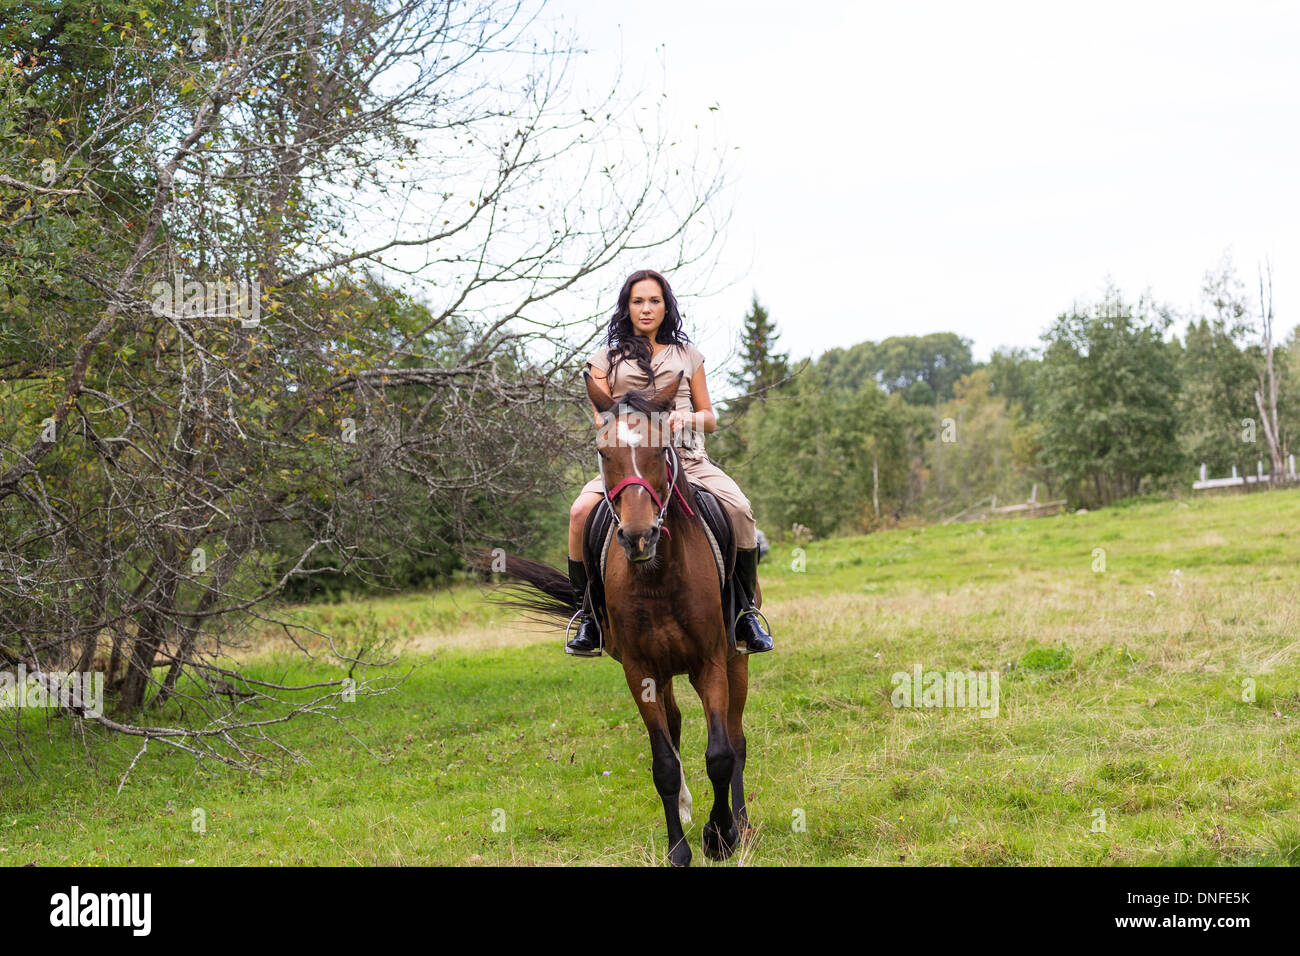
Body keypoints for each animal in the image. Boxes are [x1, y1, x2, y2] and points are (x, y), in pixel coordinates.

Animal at [488, 369, 754, 863]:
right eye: (602, 451)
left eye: (660, 450)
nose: (638, 537)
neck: (658, 575)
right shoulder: (640, 670)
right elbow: (664, 762)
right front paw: (679, 849)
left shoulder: (710, 662)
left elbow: (721, 753)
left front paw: (721, 836)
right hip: (664, 672)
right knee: (674, 726)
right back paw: (688, 807)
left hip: (737, 658)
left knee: (737, 737)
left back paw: (742, 824)